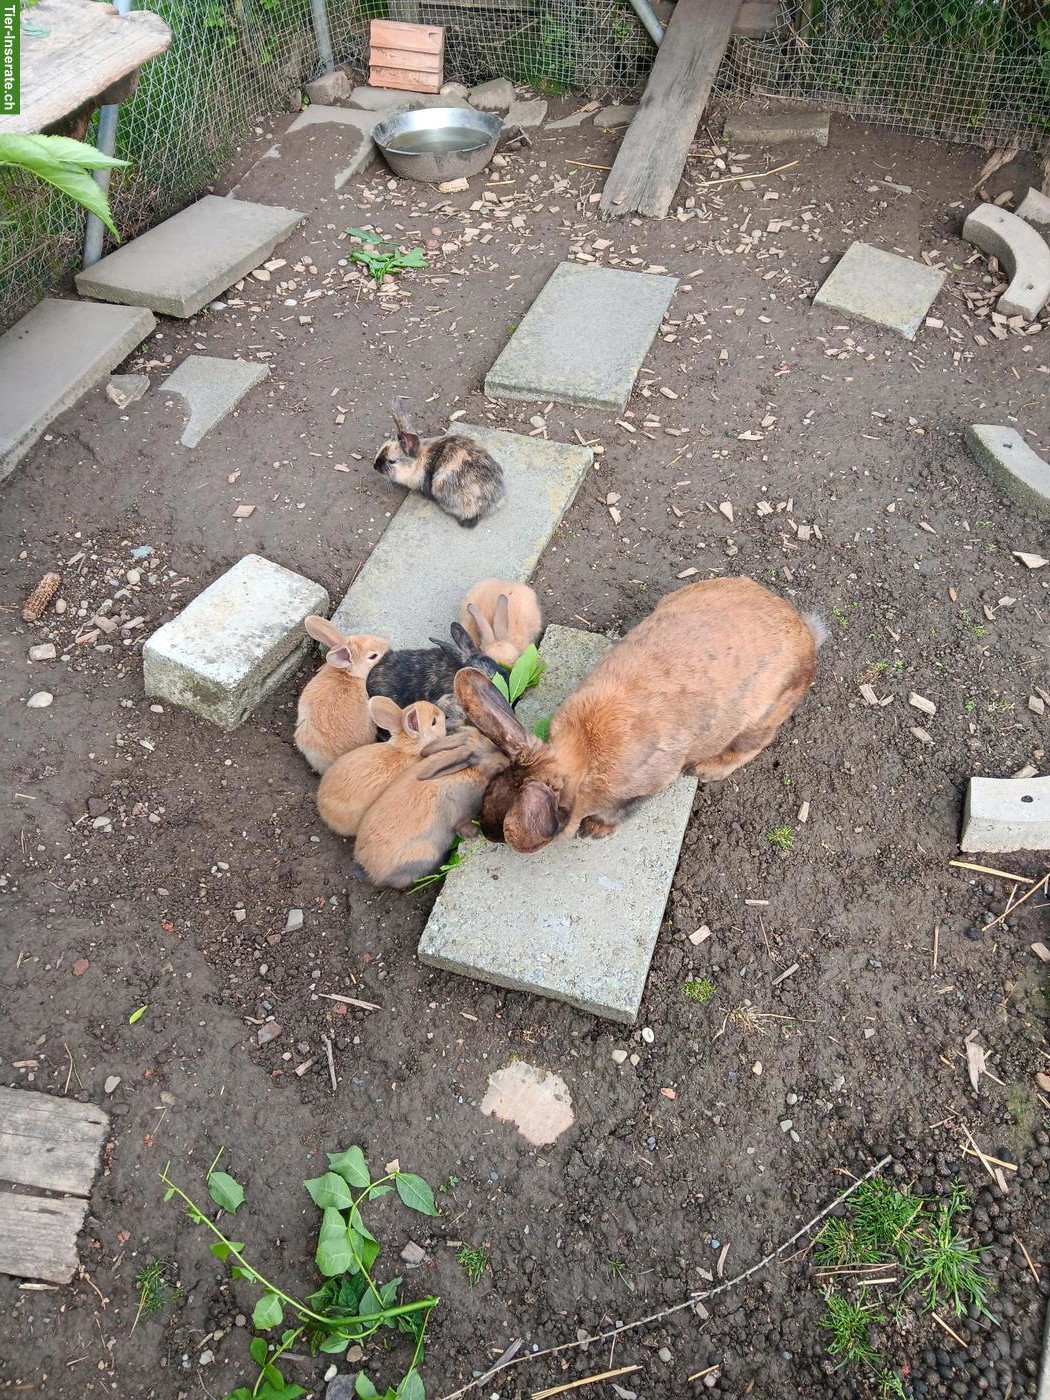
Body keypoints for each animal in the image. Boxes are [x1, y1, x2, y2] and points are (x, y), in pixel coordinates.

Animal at [354, 725, 510, 890]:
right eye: (492, 754)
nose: (507, 761)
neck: (471, 770)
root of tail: (370, 871)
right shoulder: (462, 816)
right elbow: (463, 826)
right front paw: (474, 834)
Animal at [451, 577, 825, 854]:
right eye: (491, 788)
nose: (487, 833)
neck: (583, 756)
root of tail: (807, 632)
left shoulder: (645, 787)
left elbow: (620, 811)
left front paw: (595, 830)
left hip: (763, 714)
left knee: (752, 744)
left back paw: (705, 769)